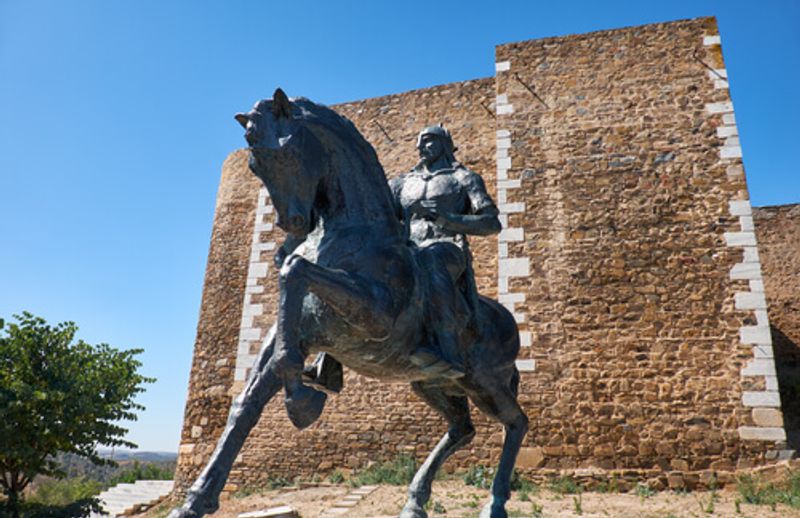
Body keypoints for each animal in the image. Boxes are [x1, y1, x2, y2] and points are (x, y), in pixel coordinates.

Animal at [170, 90, 524, 518]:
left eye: (286, 150)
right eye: (254, 164)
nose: (292, 224)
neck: (353, 234)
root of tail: (509, 321)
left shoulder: (375, 317)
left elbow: (295, 269)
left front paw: (300, 400)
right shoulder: (297, 332)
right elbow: (247, 400)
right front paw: (195, 500)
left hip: (485, 382)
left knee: (516, 423)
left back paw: (495, 502)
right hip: (432, 384)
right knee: (463, 429)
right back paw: (415, 500)